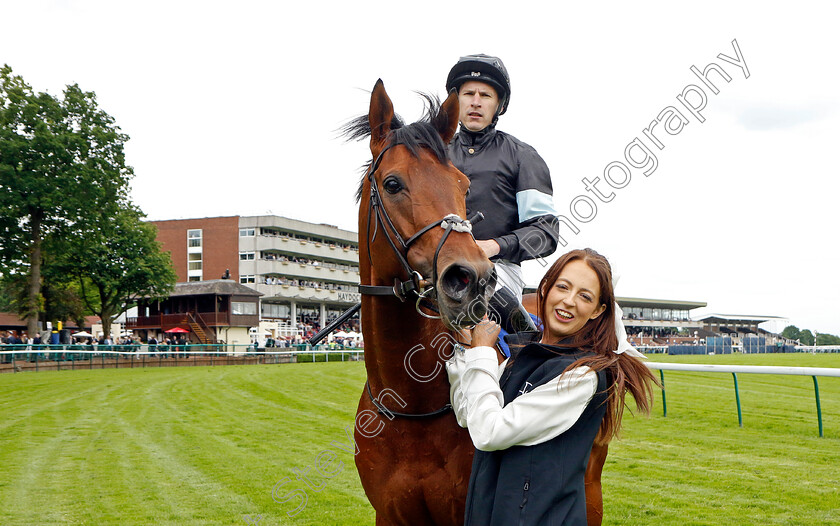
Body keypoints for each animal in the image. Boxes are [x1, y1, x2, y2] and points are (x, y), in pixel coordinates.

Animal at [344, 80, 608, 524]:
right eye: (393, 183)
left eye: (462, 185)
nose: (471, 278)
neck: (413, 404)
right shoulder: (391, 513)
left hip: (591, 490)